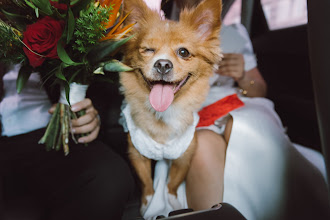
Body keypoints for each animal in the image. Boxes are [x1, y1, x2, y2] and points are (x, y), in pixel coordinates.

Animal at [119, 0, 222, 213]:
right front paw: (148, 204)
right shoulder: (136, 153)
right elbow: (146, 182)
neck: (162, 115)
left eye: (183, 52)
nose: (163, 64)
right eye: (148, 50)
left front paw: (173, 201)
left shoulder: (185, 155)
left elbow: (173, 182)